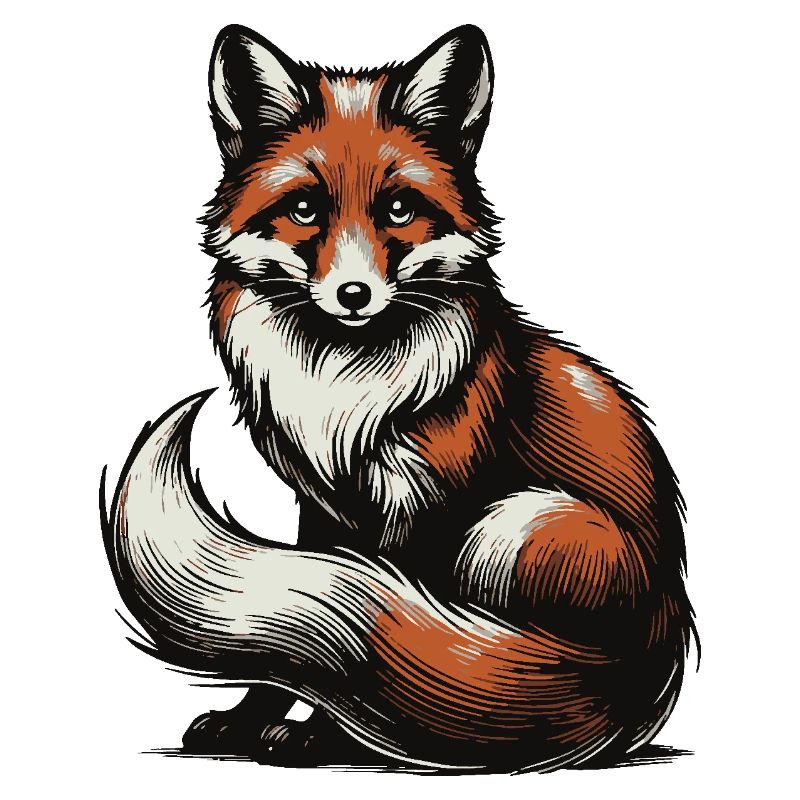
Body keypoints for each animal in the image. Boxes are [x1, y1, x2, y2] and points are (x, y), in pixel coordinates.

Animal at [102, 23, 697, 772]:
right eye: (304, 209)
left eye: (399, 209)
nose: (354, 295)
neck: (345, 389)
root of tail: (655, 654)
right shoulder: (323, 507)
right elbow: (297, 646)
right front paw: (252, 719)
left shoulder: (429, 505)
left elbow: (381, 652)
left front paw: (328, 735)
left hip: (518, 524)